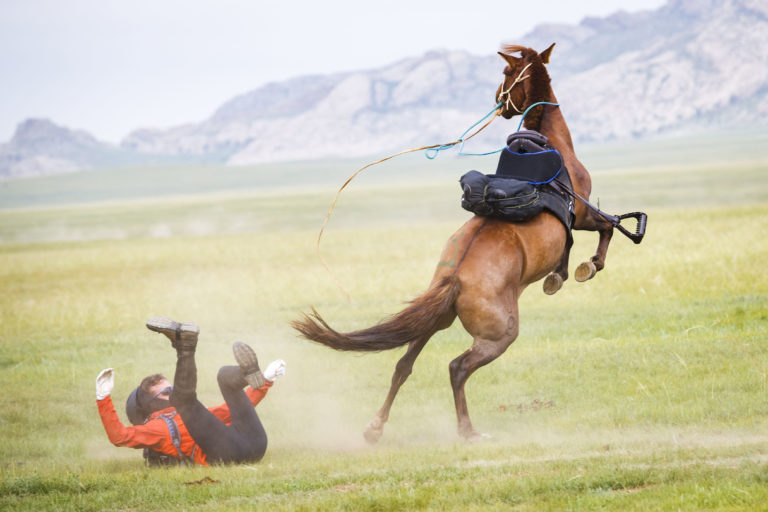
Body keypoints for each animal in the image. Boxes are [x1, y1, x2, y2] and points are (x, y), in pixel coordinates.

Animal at [292, 44, 618, 442]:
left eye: (506, 74)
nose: (498, 101)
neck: (550, 144)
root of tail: (454, 279)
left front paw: (559, 276)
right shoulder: (582, 214)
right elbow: (606, 228)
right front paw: (587, 267)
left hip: (436, 320)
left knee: (403, 365)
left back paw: (374, 428)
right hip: (498, 335)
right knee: (457, 367)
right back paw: (467, 430)